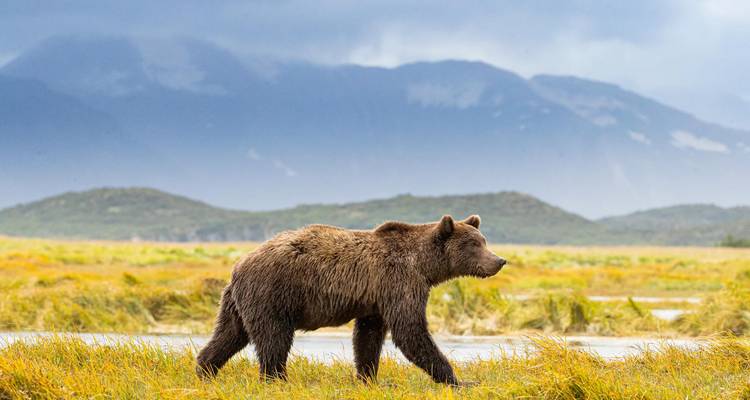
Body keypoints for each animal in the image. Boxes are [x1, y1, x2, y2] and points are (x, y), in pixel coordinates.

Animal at [195, 214, 506, 385]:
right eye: (474, 244)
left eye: (484, 241)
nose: (499, 261)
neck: (425, 265)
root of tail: (239, 265)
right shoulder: (399, 282)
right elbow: (410, 331)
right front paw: (457, 379)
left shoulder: (377, 298)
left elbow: (368, 336)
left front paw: (368, 377)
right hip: (272, 294)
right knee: (274, 339)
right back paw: (277, 379)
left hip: (237, 302)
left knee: (230, 334)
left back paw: (204, 369)